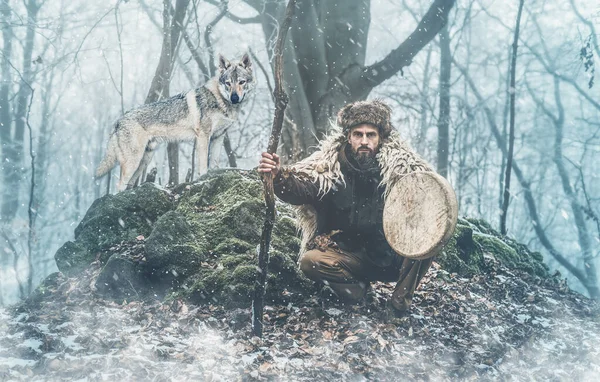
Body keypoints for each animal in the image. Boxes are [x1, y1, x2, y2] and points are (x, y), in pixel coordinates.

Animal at [95, 53, 253, 191]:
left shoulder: (218, 136)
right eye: (228, 83)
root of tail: (118, 121)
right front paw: (203, 180)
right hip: (134, 161)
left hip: (144, 161)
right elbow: (203, 166)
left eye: (241, 82)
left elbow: (214, 163)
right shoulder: (203, 136)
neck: (219, 100)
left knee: (128, 185)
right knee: (120, 185)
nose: (234, 98)